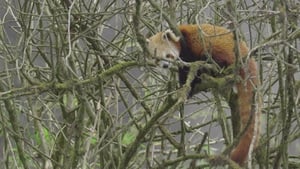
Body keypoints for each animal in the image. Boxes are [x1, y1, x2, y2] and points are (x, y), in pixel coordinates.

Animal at [146, 24, 258, 166]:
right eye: (157, 58)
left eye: (167, 55)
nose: (165, 65)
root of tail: (245, 52)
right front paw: (184, 87)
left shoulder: (189, 50)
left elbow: (191, 68)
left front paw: (190, 86)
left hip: (224, 52)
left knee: (210, 57)